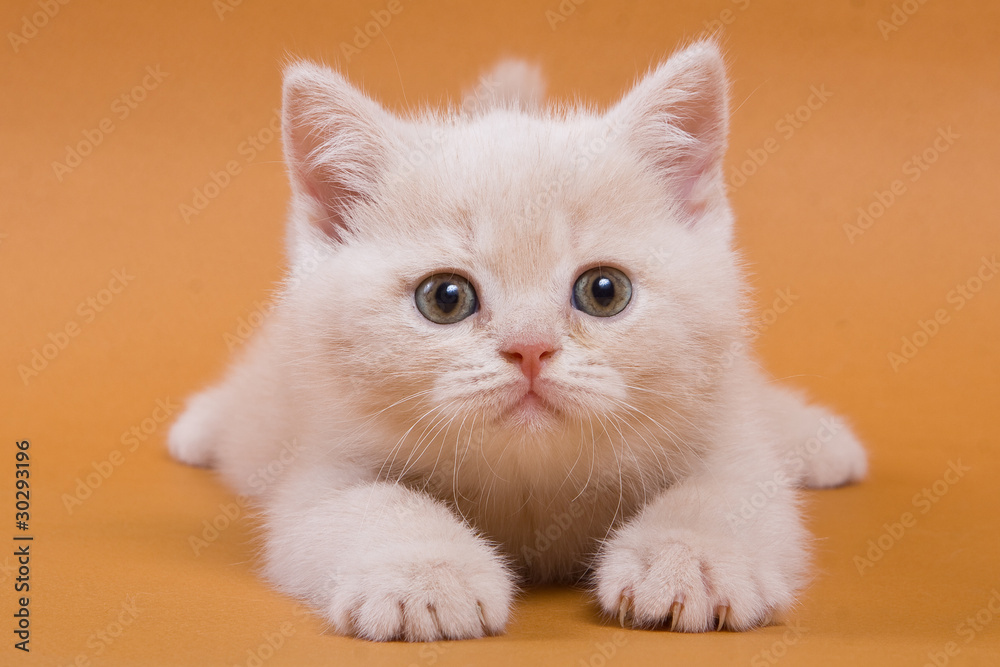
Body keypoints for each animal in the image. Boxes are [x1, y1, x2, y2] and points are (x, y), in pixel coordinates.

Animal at [170, 40, 868, 640]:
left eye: (604, 291)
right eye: (444, 298)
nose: (530, 348)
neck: (532, 484)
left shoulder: (729, 444)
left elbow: (726, 493)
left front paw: (690, 562)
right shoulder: (320, 465)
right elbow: (368, 505)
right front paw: (427, 578)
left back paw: (820, 441)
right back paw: (199, 429)